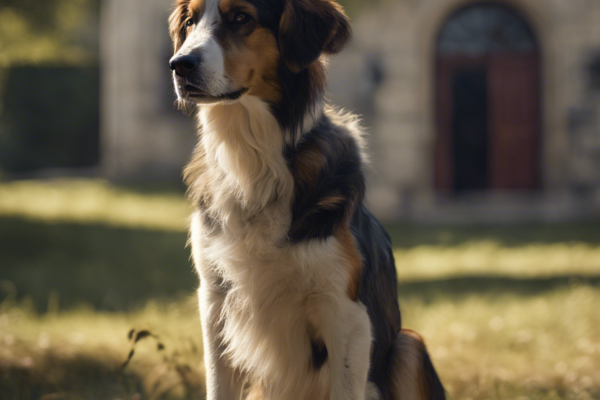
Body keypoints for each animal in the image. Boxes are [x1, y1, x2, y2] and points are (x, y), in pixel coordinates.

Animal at [168, 0, 446, 398]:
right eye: (190, 22)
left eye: (241, 17)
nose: (179, 64)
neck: (252, 161)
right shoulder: (215, 299)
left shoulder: (346, 313)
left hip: (409, 345)